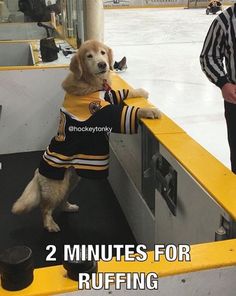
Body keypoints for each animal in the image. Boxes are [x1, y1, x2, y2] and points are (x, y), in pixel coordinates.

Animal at [12, 40, 161, 231]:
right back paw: (50, 224)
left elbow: (118, 93)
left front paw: (139, 91)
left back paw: (68, 207)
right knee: (45, 208)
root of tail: (38, 173)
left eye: (102, 53)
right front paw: (148, 111)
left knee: (61, 201)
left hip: (72, 180)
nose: (103, 64)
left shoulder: (108, 96)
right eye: (89, 56)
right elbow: (126, 113)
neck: (91, 83)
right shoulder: (103, 112)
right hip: (56, 186)